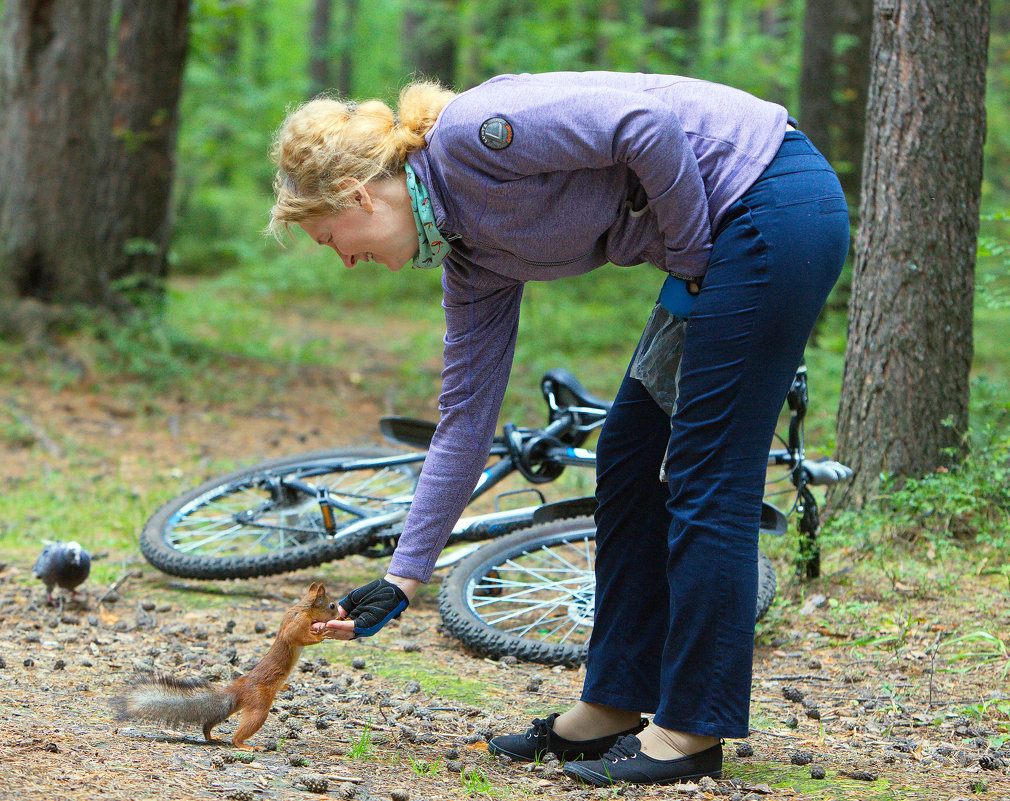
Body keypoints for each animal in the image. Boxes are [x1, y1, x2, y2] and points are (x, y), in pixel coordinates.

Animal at [114, 585, 341, 747]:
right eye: (332, 605)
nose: (340, 614)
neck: (301, 608)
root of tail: (238, 688)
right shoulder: (296, 625)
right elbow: (299, 637)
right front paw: (321, 634)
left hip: (231, 709)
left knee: (210, 722)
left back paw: (210, 737)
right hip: (259, 706)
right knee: (239, 735)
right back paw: (244, 745)